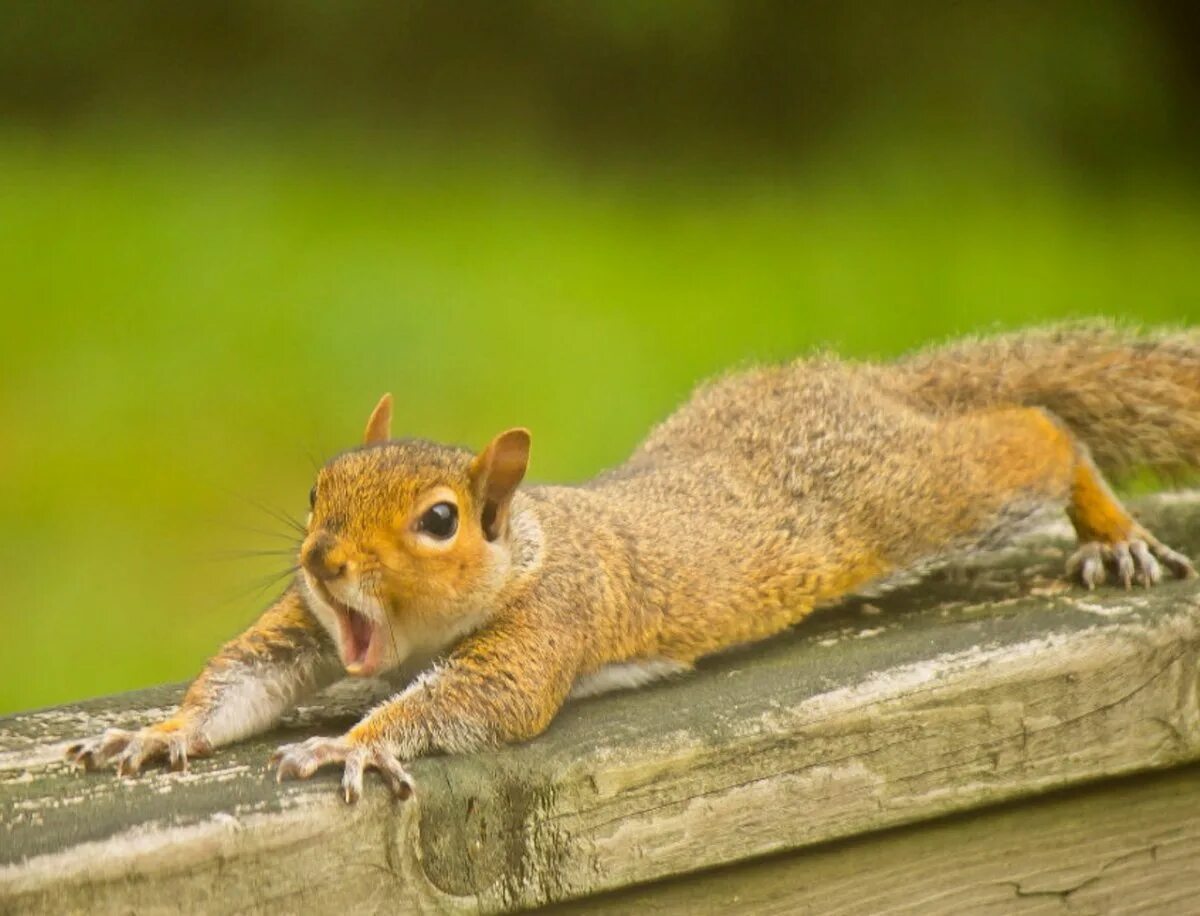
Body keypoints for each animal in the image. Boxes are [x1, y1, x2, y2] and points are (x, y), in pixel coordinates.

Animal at [68, 321, 1200, 801]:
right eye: (319, 489)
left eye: (439, 520)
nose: (322, 559)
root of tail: (869, 384)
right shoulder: (305, 624)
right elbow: (243, 677)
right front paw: (157, 735)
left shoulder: (551, 621)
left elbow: (484, 699)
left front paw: (353, 742)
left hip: (916, 492)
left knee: (1036, 435)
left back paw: (1110, 530)